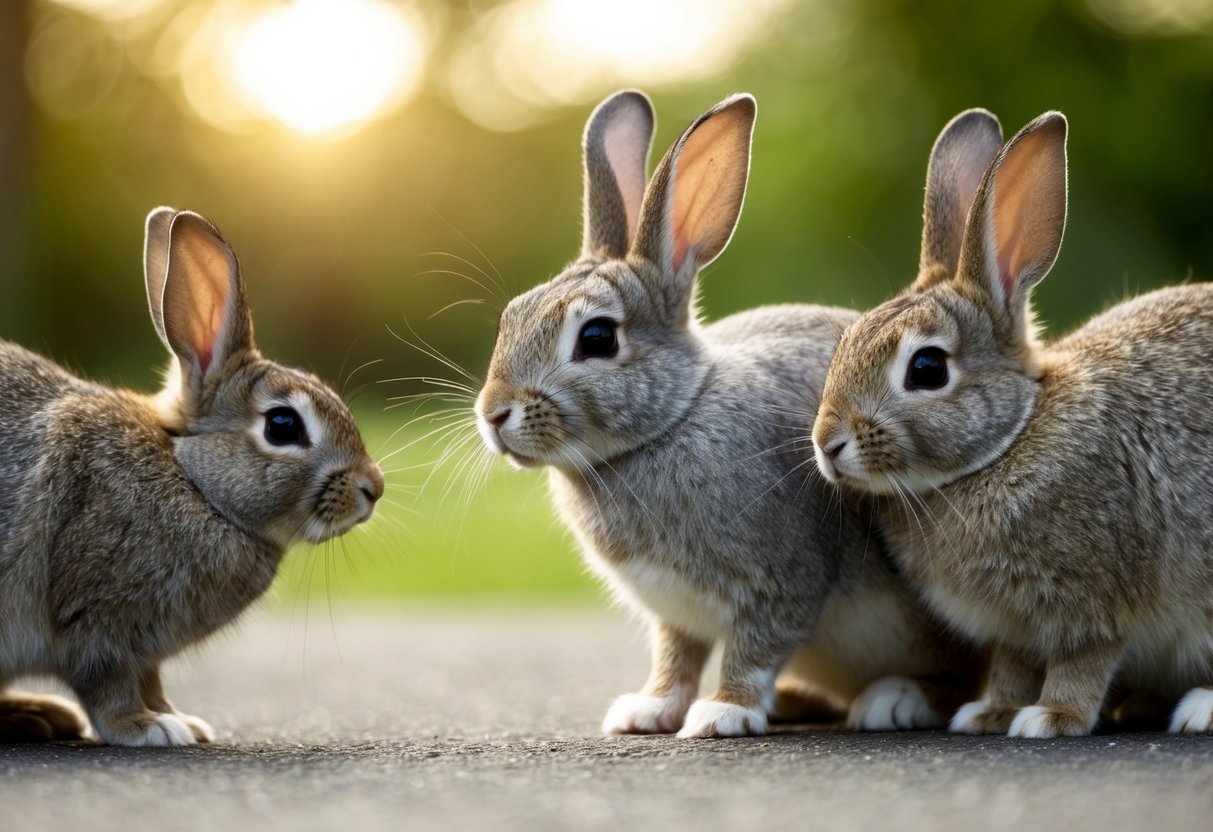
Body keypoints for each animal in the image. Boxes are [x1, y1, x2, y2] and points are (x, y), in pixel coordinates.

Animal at [0, 208, 383, 751]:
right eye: (282, 425)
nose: (374, 488)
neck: (193, 482)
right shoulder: (94, 620)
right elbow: (105, 683)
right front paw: (148, 728)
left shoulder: (144, 651)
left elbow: (150, 680)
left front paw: (178, 717)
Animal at [473, 90, 975, 742]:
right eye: (512, 315)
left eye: (598, 337)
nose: (492, 414)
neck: (670, 420)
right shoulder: (675, 613)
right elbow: (675, 657)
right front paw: (646, 711)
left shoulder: (782, 578)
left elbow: (754, 647)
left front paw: (722, 713)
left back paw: (895, 701)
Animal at [810, 107, 1213, 742]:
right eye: (845, 342)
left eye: (927, 368)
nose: (827, 444)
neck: (1009, 442)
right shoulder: (1015, 630)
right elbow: (1012, 666)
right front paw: (990, 713)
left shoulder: (1095, 603)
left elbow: (1082, 661)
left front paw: (1050, 718)